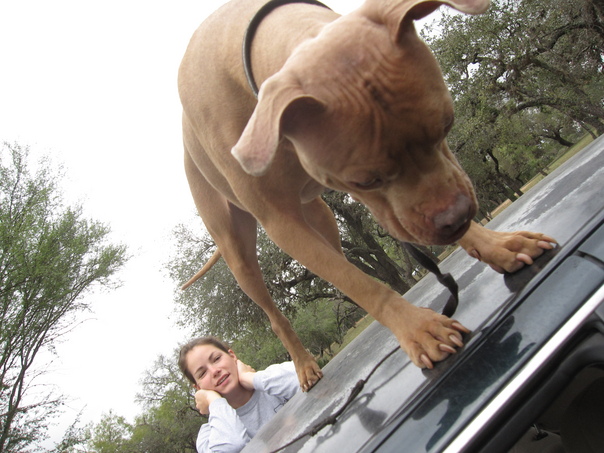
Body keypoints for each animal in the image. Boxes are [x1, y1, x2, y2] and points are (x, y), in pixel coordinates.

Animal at [178, 0, 555, 391]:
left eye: (447, 124)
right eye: (366, 179)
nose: (456, 218)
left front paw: (498, 246)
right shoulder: (283, 222)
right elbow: (359, 283)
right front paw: (417, 328)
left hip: (321, 214)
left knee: (336, 250)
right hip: (237, 253)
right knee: (278, 306)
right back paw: (304, 365)